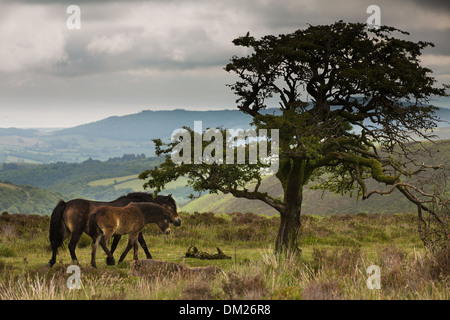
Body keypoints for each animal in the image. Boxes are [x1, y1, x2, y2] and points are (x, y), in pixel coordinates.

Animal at [47, 191, 178, 266]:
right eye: (172, 207)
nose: (178, 221)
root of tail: (66, 204)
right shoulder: (129, 231)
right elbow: (141, 243)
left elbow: (121, 245)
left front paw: (110, 260)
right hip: (76, 232)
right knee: (71, 246)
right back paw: (77, 263)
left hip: (65, 231)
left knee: (55, 243)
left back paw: (51, 262)